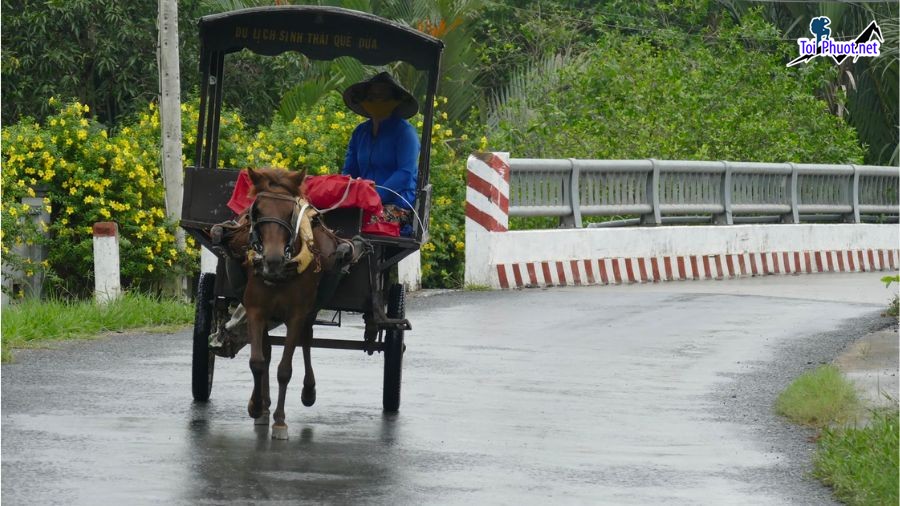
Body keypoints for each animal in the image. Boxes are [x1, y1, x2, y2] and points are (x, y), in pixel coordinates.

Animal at [241, 166, 340, 438]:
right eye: (257, 210)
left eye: (290, 212)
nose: (273, 259)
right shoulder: (255, 310)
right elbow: (257, 362)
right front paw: (256, 406)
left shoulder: (297, 315)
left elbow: (285, 370)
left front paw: (280, 422)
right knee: (267, 351)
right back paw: (264, 407)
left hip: (309, 311)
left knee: (306, 340)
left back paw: (308, 391)